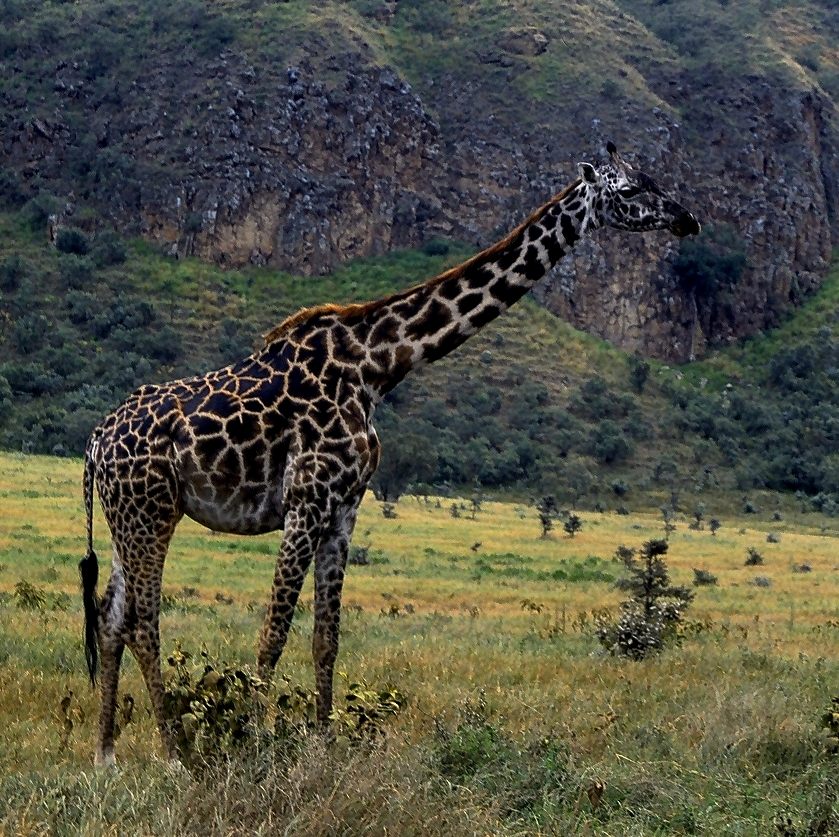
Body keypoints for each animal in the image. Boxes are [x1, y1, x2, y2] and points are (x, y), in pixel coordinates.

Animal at [80, 143, 699, 765]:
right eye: (629, 189)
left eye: (654, 178)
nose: (687, 220)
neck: (377, 366)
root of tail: (93, 446)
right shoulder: (306, 499)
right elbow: (272, 635)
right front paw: (253, 742)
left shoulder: (345, 507)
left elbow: (325, 639)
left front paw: (324, 746)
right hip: (151, 513)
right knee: (143, 623)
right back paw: (171, 752)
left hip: (127, 516)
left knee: (110, 617)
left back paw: (106, 754)